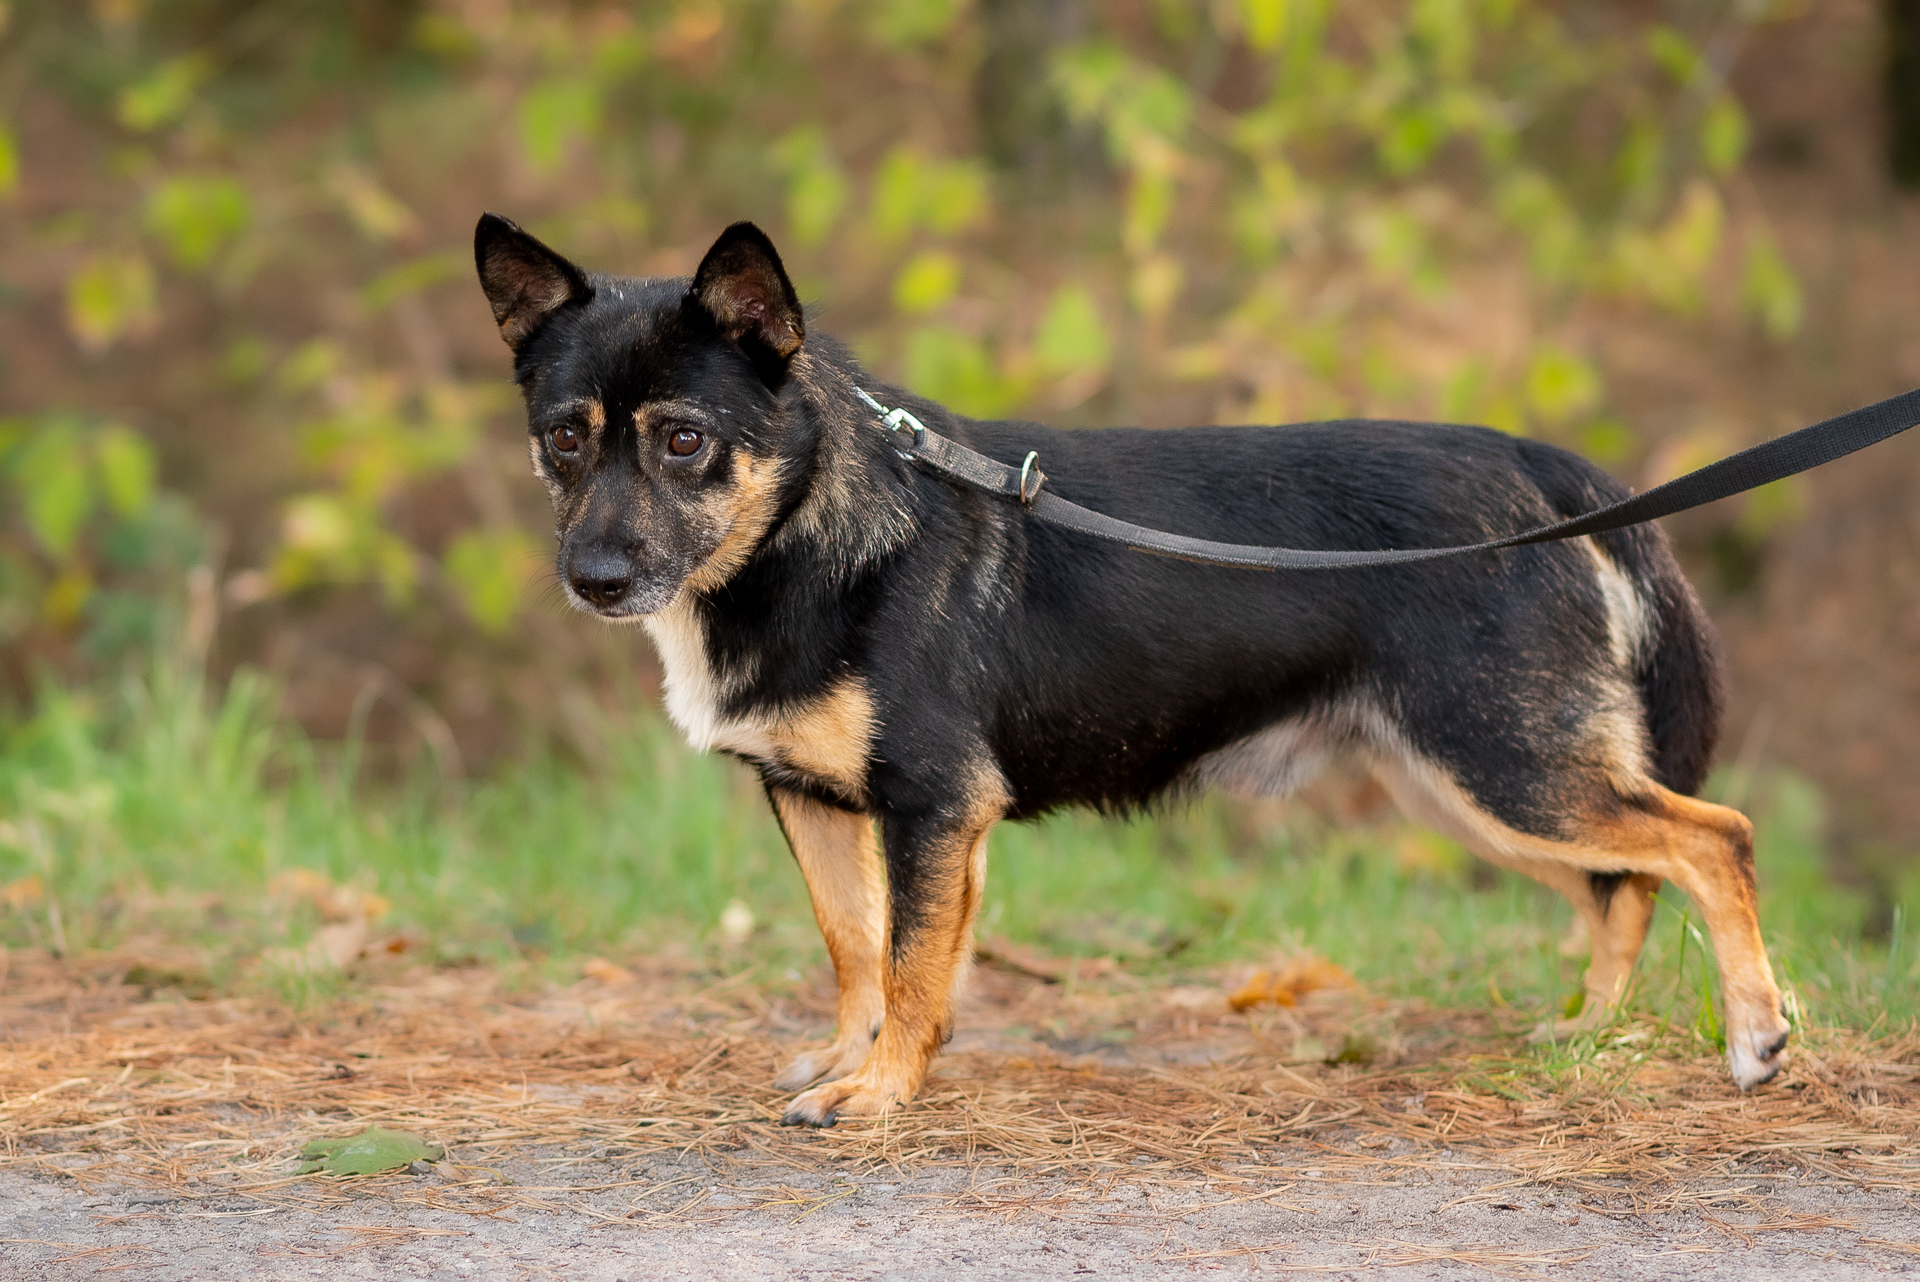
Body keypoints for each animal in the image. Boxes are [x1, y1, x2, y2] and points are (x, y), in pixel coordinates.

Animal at [472, 213, 1789, 1120]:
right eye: (564, 440)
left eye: (685, 441)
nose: (593, 578)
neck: (809, 538)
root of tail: (1536, 465)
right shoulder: (817, 803)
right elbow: (858, 952)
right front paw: (851, 1063)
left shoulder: (933, 806)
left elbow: (907, 964)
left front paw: (880, 1093)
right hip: (1473, 785)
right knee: (1623, 881)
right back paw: (1591, 1035)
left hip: (1504, 767)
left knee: (1709, 837)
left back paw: (1754, 1037)